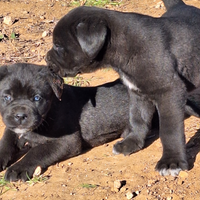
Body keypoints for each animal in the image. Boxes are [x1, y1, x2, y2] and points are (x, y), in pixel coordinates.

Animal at [0, 62, 130, 181]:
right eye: (6, 97)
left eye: (37, 98)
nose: (20, 116)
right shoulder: (11, 128)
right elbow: (6, 141)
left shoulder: (68, 141)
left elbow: (36, 152)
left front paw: (17, 169)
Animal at [46, 0, 200, 175]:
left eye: (58, 46)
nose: (46, 59)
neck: (124, 45)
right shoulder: (137, 91)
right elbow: (137, 118)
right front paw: (131, 143)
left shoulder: (169, 90)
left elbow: (169, 130)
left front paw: (171, 162)